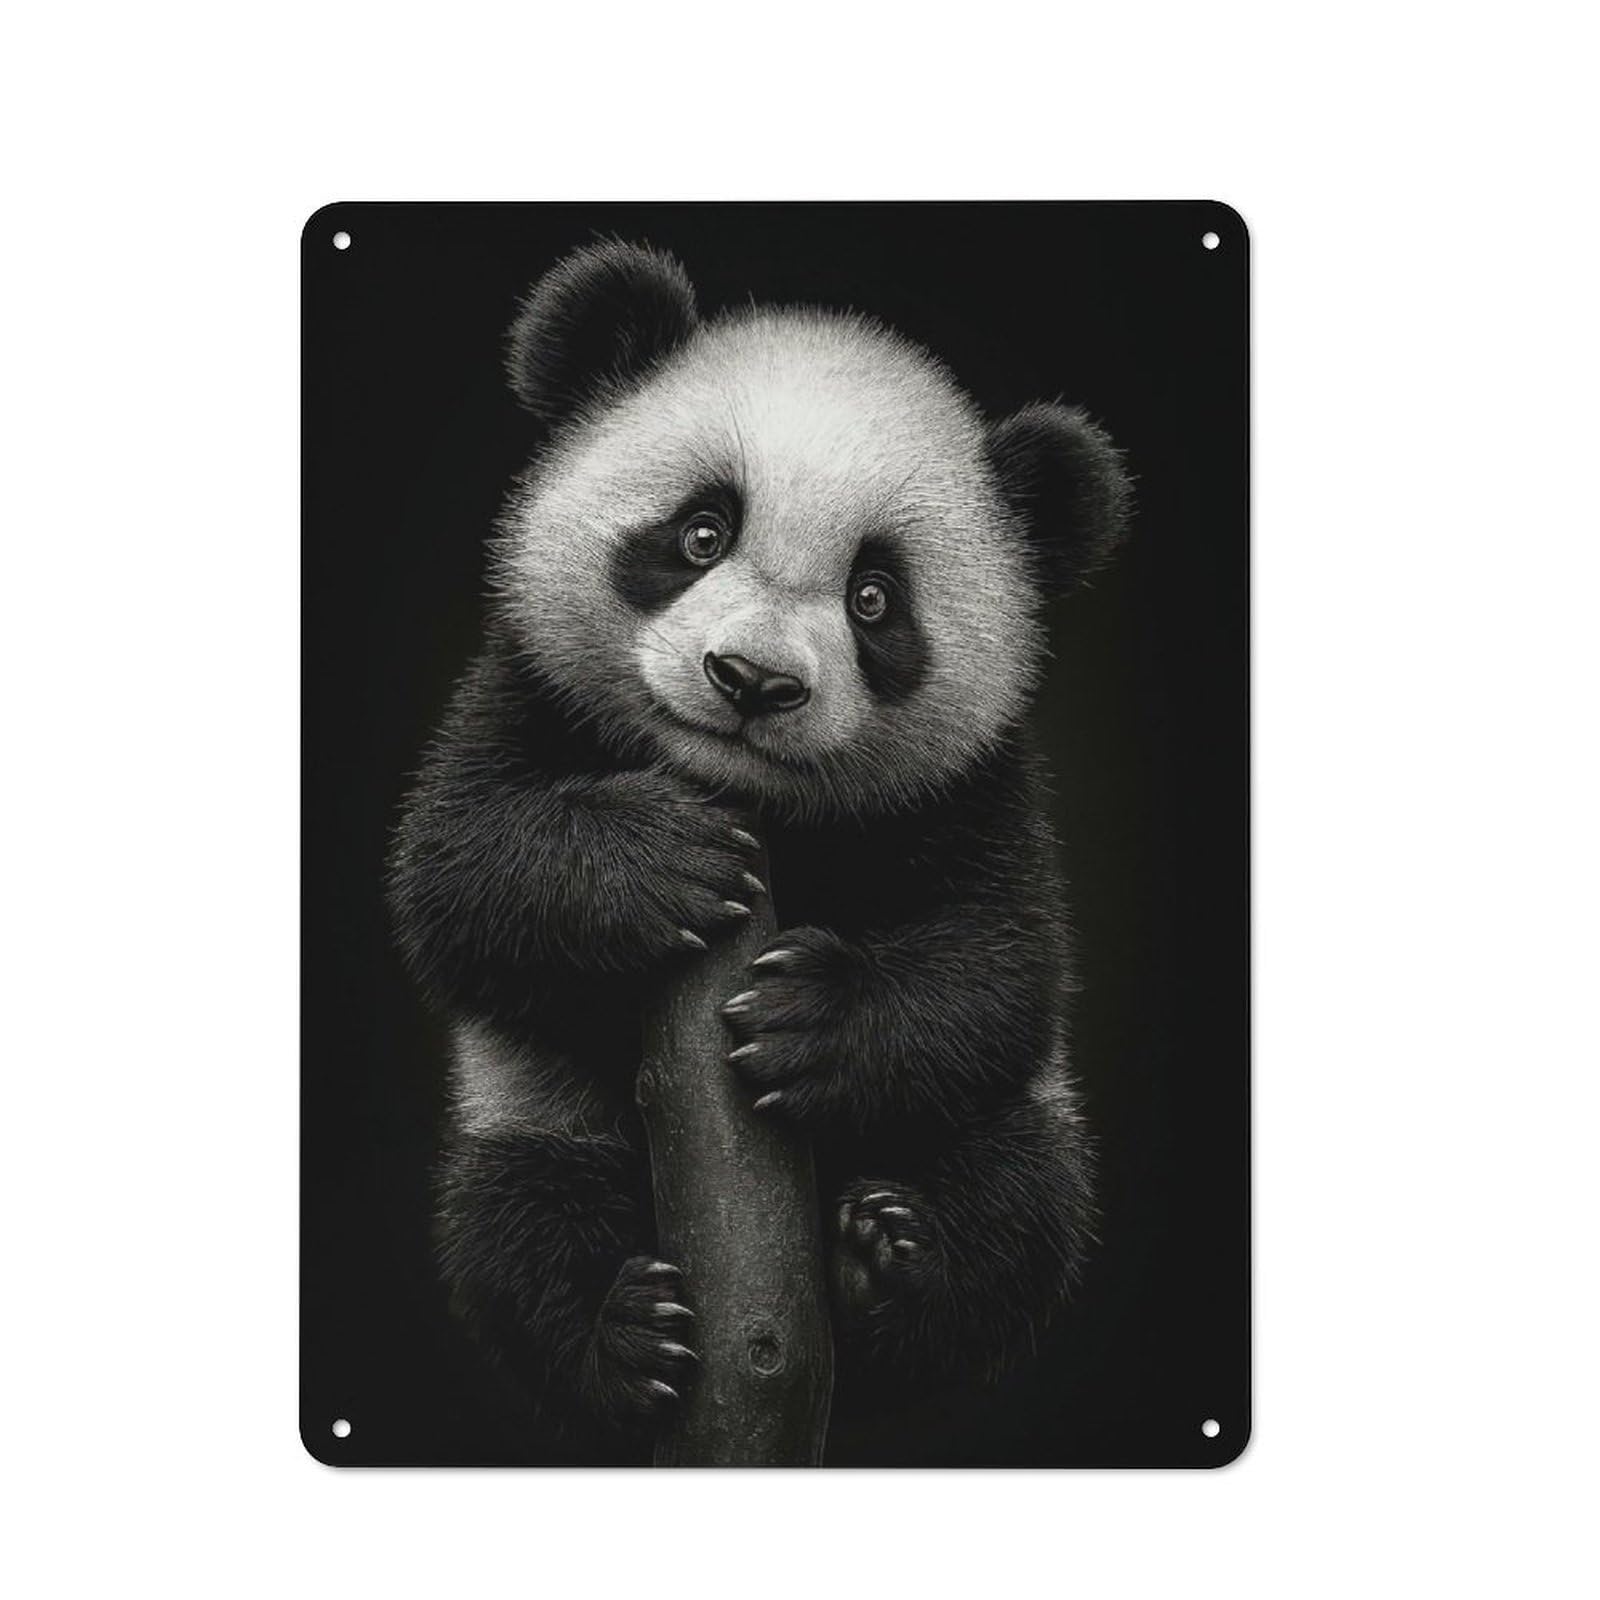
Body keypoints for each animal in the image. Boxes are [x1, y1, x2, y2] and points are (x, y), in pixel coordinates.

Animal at [388, 239, 1129, 1451]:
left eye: (874, 599)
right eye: (702, 531)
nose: (751, 682)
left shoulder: (973, 786)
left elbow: (1002, 968)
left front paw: (809, 1017)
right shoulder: (523, 687)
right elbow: (453, 877)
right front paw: (661, 866)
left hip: (1010, 1129)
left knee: (1021, 1208)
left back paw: (889, 1261)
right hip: (532, 1112)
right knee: (515, 1223)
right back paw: (623, 1330)